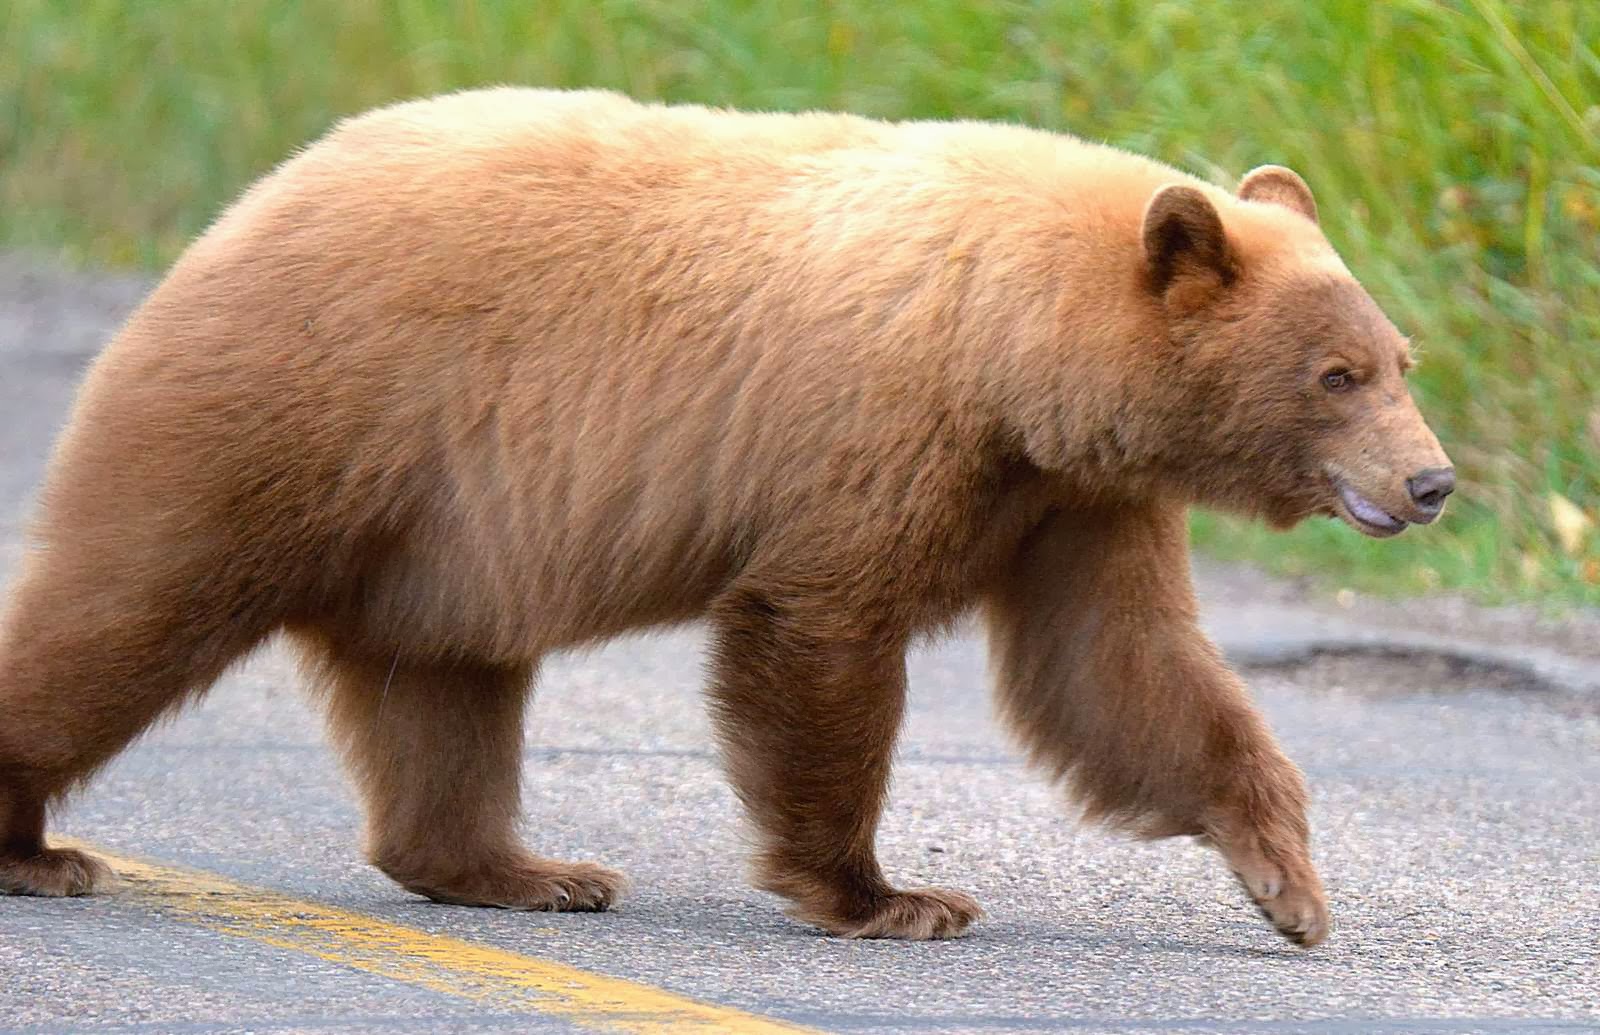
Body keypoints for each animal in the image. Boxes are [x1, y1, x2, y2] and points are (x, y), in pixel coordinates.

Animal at [0, 89, 1453, 945]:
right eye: (1337, 375)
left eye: (1401, 359)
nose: (1431, 482)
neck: (1013, 348)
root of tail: (244, 205)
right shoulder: (881, 428)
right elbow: (821, 630)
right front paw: (888, 895)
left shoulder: (1073, 497)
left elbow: (1119, 669)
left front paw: (1290, 883)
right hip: (294, 416)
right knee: (129, 606)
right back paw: (40, 846)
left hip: (438, 529)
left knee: (444, 690)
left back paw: (526, 867)